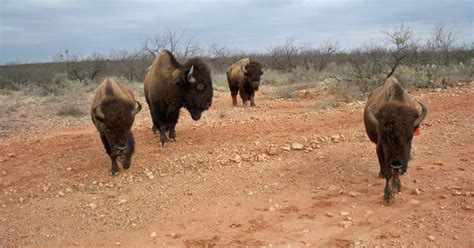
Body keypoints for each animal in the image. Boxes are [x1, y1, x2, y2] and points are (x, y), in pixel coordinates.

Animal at [364, 76, 428, 204]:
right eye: (384, 139)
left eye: (410, 138)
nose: (396, 165)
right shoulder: (381, 150)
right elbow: (388, 173)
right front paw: (388, 196)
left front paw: (397, 186)